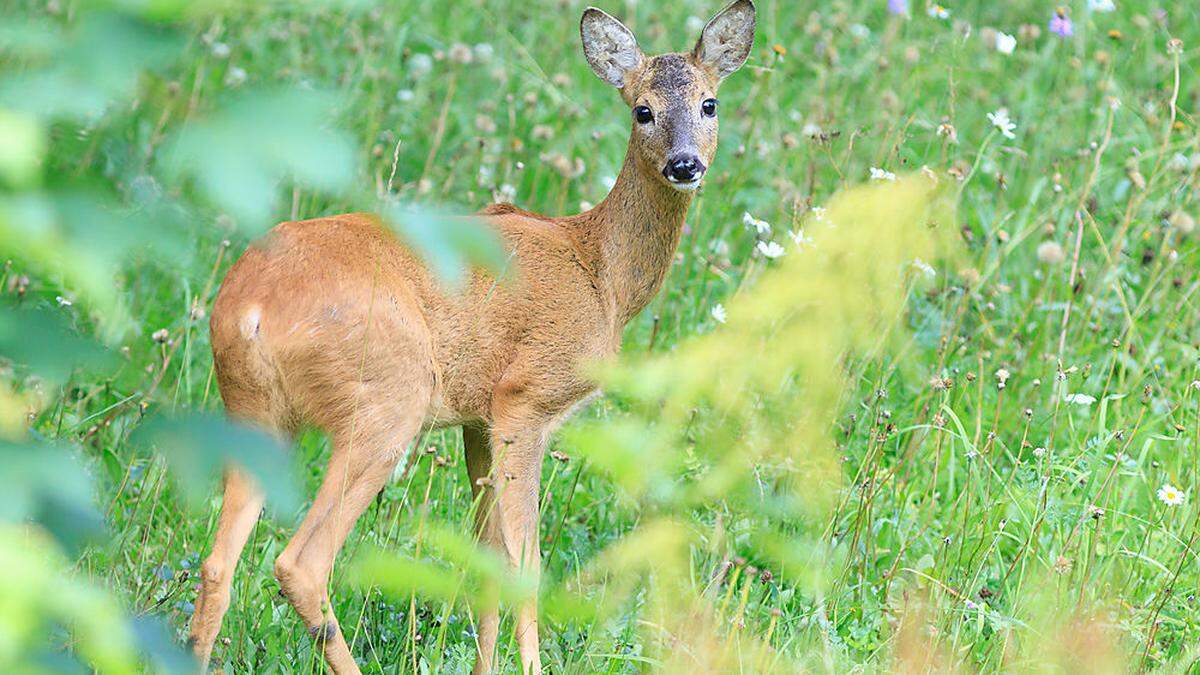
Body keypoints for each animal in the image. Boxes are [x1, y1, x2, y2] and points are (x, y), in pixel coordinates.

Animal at [188, 2, 753, 667]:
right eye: (642, 109)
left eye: (709, 103)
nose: (684, 164)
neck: (601, 274)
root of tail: (247, 309)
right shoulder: (523, 401)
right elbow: (526, 567)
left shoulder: (476, 420)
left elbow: (486, 560)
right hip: (386, 399)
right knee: (301, 562)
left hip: (253, 411)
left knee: (217, 565)